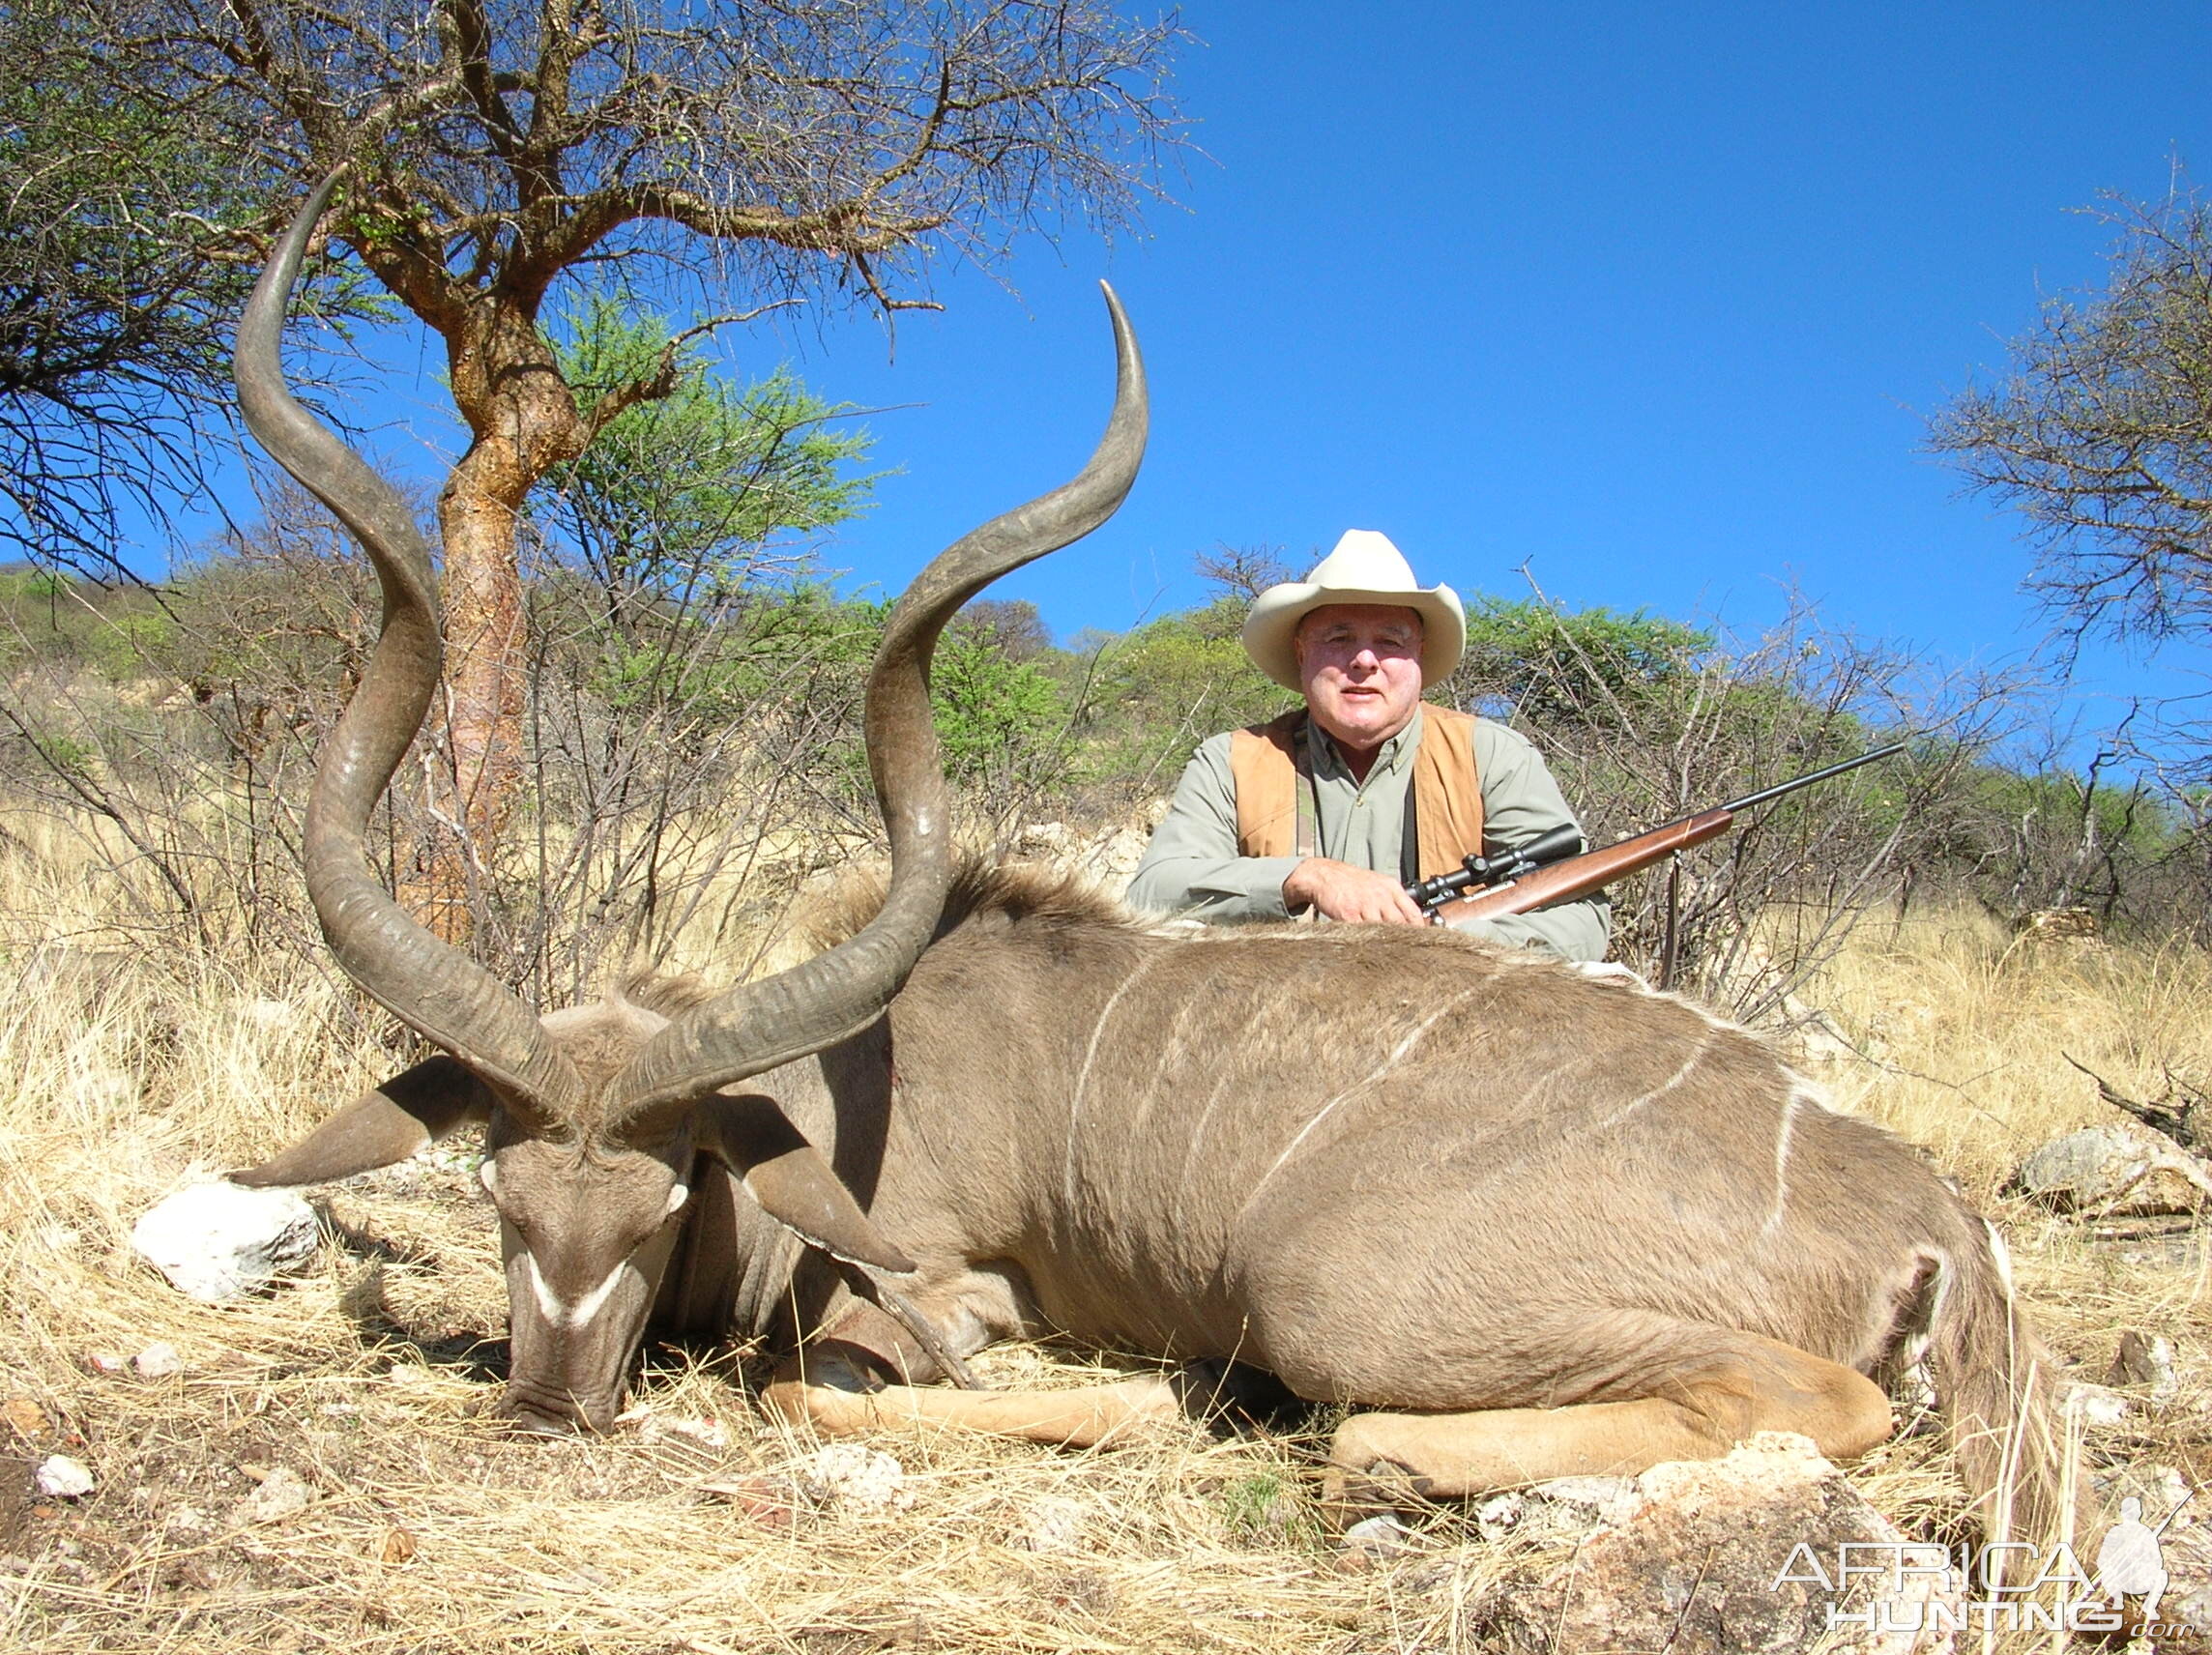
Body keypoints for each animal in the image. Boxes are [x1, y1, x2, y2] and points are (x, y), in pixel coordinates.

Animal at [233, 181, 2079, 1549]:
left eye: (670, 1189)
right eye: (500, 1194)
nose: (552, 1397)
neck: (832, 1098)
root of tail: (1922, 1203)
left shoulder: (937, 1287)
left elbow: (828, 1382)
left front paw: (1139, 1400)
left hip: (1335, 1297)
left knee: (1748, 1405)